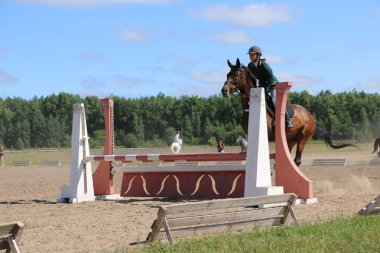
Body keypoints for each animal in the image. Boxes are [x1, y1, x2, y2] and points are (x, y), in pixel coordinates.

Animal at [221, 58, 354, 167]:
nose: (224, 91)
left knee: (297, 160)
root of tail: (310, 116)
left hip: (303, 138)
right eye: (228, 74)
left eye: (237, 75)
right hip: (290, 140)